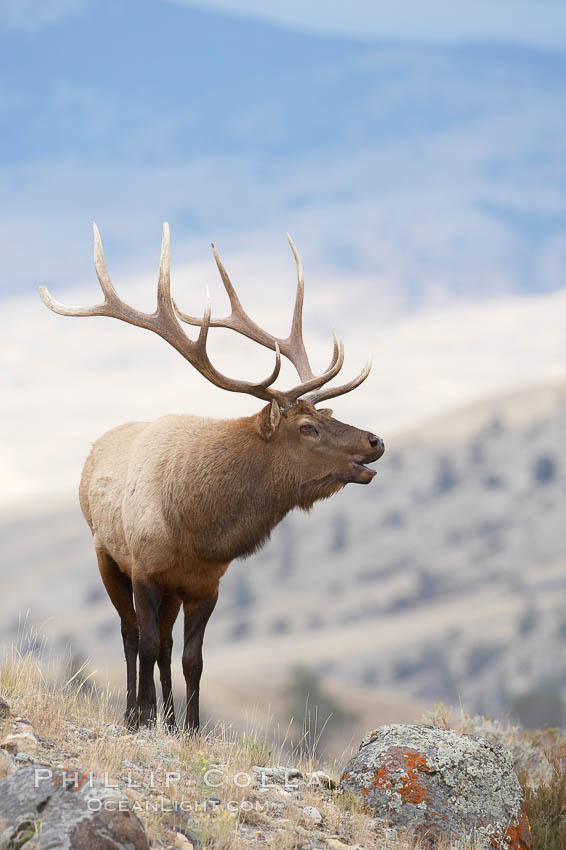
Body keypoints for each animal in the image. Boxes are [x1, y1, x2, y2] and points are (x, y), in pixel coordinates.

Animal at [40, 224, 386, 728]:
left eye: (327, 414)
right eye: (308, 427)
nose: (375, 441)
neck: (195, 527)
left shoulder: (205, 584)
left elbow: (192, 659)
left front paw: (189, 728)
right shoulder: (145, 570)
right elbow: (145, 643)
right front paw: (143, 718)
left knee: (165, 645)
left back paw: (165, 715)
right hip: (106, 554)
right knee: (131, 635)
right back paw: (134, 711)